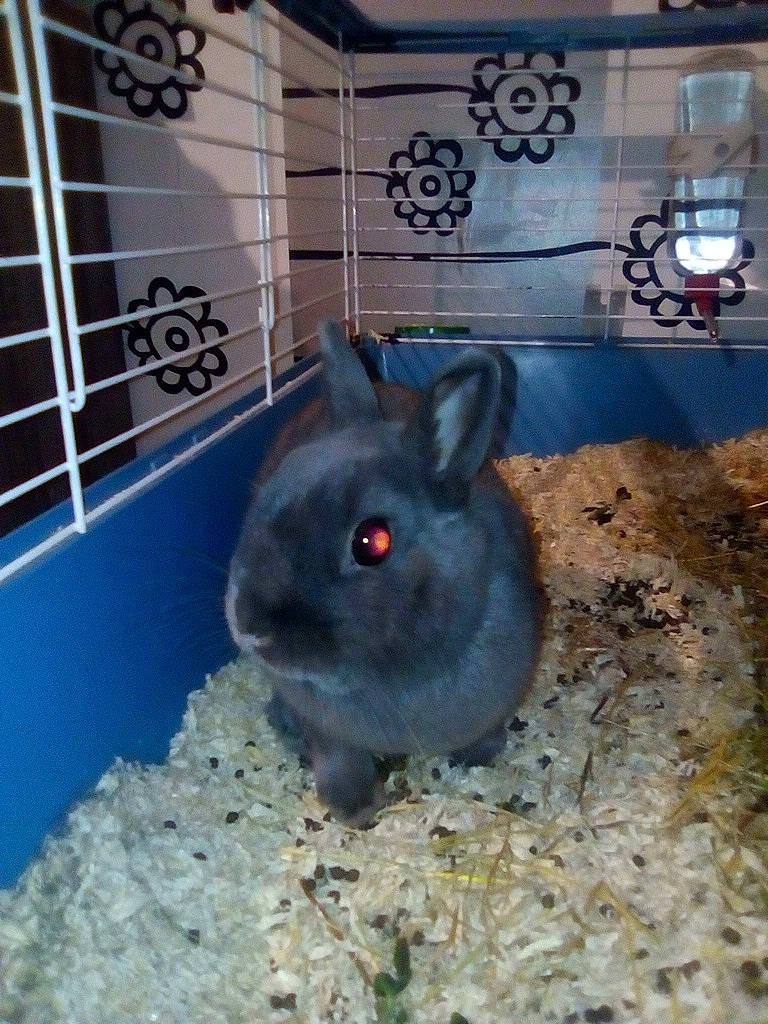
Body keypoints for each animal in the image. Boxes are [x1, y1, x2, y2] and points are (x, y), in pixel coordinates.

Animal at [226, 320, 543, 825]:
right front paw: (355, 809)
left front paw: (478, 756)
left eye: (371, 542)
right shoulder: (327, 728)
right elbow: (340, 760)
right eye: (269, 494)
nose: (249, 629)